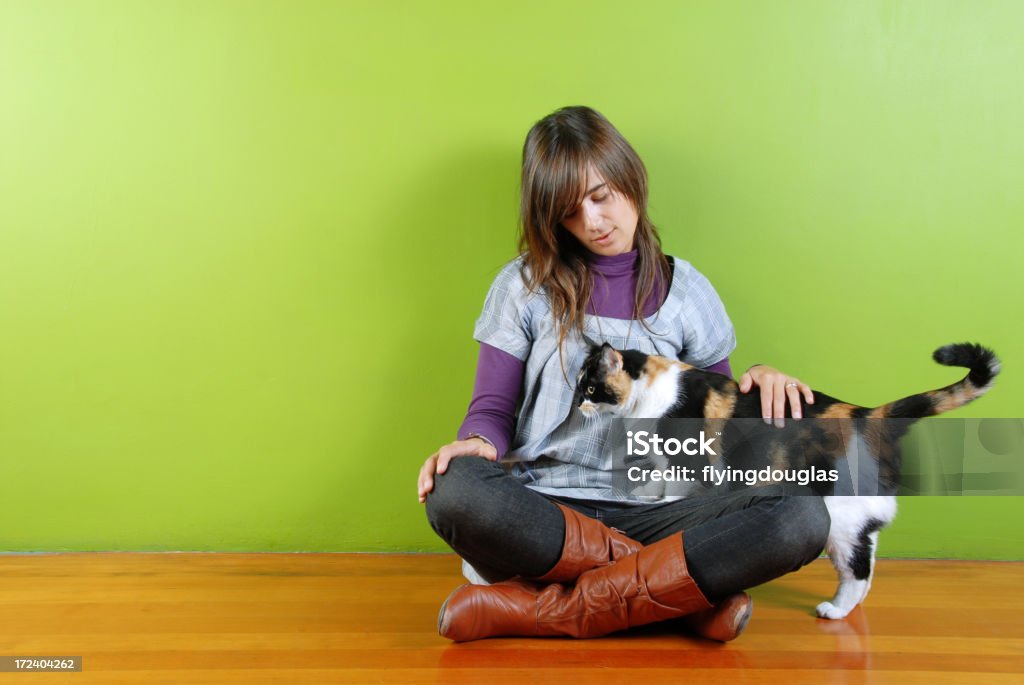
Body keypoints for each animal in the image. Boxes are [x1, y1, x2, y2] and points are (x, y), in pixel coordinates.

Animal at [577, 341, 999, 618]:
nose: (577, 404)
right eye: (579, 386)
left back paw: (834, 611)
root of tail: (869, 415)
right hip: (859, 518)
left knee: (857, 571)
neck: (647, 394)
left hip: (838, 520)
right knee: (870, 559)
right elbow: (659, 475)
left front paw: (665, 502)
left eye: (591, 387)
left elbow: (676, 485)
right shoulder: (665, 458)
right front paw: (649, 492)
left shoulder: (687, 457)